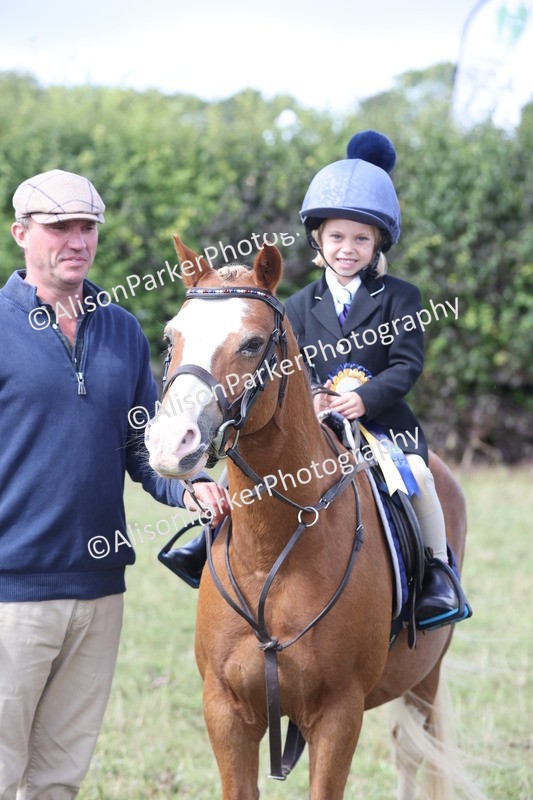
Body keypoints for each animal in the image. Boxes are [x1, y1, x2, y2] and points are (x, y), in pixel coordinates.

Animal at [145, 237, 484, 800]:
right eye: (171, 337)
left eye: (252, 343)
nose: (170, 444)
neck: (271, 552)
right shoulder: (225, 713)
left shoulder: (338, 716)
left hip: (424, 677)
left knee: (413, 751)